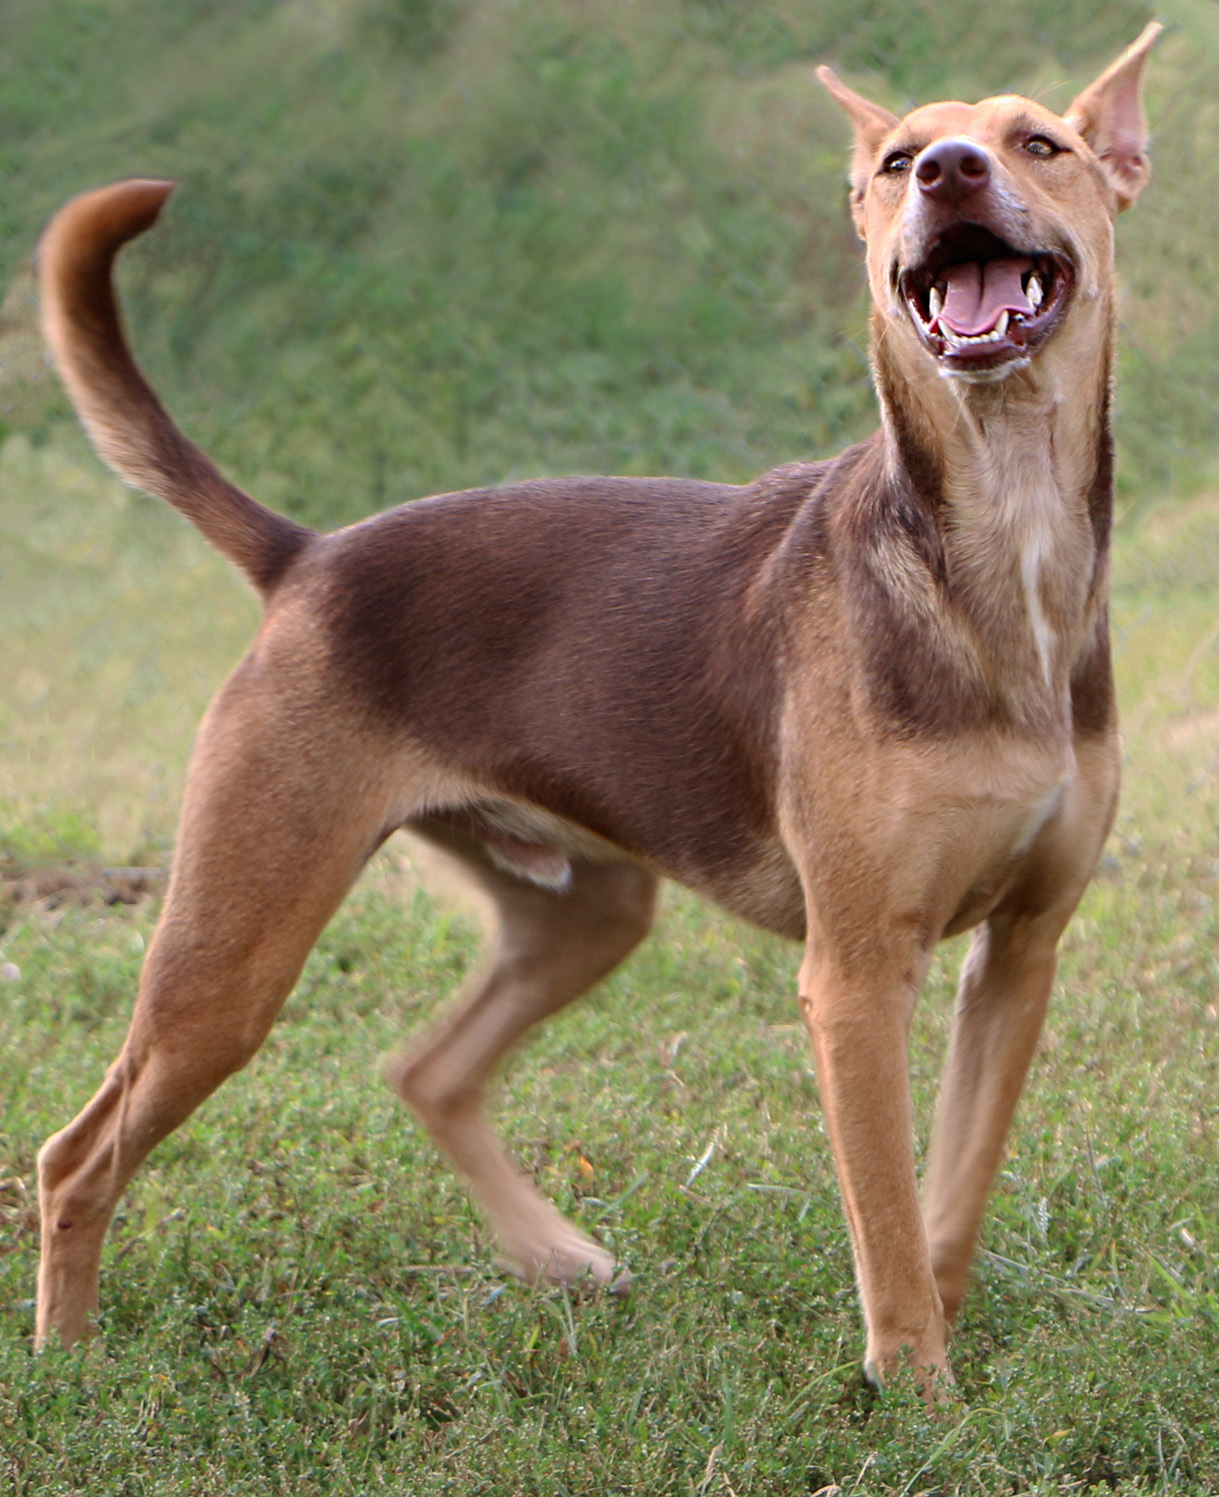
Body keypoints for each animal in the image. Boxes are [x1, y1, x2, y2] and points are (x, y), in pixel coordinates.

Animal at [33, 26, 1162, 1401]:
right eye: (899, 162)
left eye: (1038, 144)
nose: (949, 171)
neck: (1000, 544)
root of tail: (308, 558)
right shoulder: (853, 977)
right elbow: (888, 1218)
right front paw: (917, 1390)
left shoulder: (1020, 955)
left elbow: (946, 1202)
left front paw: (940, 1352)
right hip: (231, 955)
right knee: (75, 1157)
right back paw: (66, 1363)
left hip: (583, 913)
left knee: (425, 1070)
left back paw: (557, 1257)